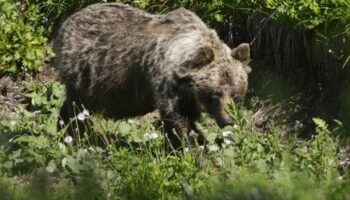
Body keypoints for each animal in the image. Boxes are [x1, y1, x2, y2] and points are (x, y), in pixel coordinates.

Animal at [52, 2, 252, 150]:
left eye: (236, 94)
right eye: (215, 93)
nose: (228, 120)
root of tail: (67, 22)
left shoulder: (186, 94)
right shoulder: (164, 81)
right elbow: (178, 120)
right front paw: (192, 149)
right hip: (86, 72)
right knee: (77, 108)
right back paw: (73, 135)